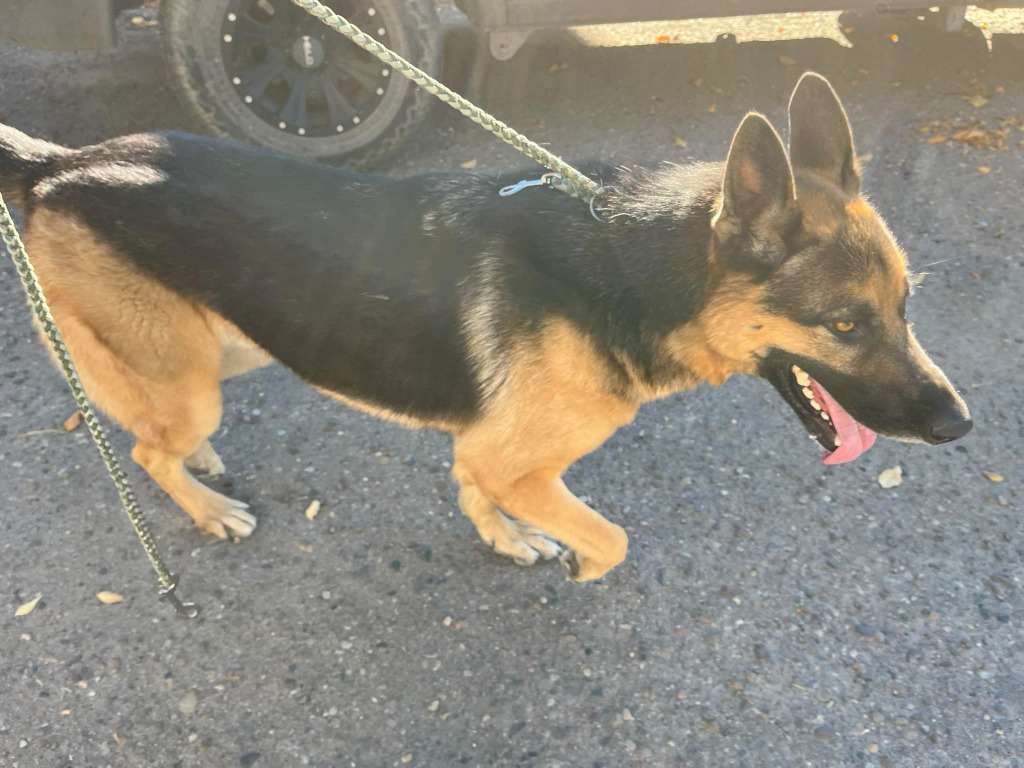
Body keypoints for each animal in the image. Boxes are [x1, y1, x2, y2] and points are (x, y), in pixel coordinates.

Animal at [2, 75, 966, 581]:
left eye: (907, 307)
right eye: (844, 323)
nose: (960, 427)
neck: (631, 275)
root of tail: (63, 163)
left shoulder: (484, 446)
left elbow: (475, 486)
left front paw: (505, 535)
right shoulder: (516, 457)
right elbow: (607, 537)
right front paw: (575, 559)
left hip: (226, 346)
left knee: (152, 429)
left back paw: (200, 467)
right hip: (191, 376)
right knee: (143, 449)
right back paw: (207, 508)